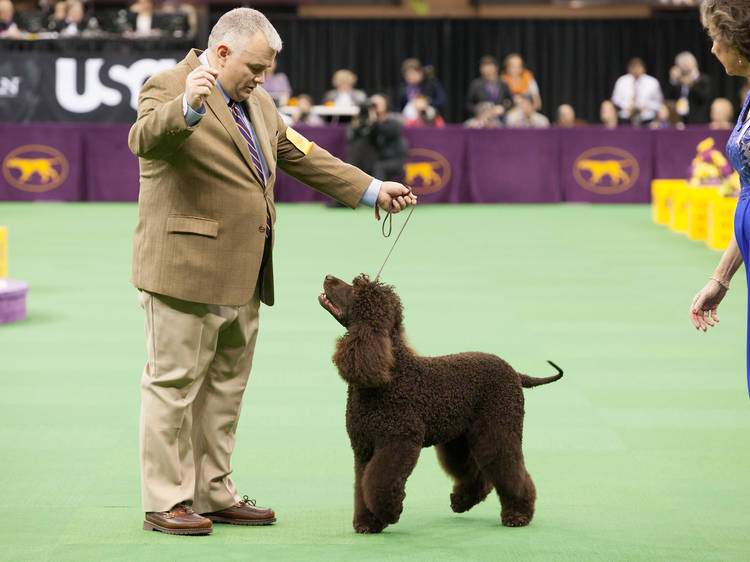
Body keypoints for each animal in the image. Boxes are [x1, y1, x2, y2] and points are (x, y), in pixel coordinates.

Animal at [318, 274, 564, 532]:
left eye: (357, 289)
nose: (328, 277)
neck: (389, 375)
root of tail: (515, 372)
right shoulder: (364, 448)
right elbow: (362, 486)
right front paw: (367, 523)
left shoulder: (399, 440)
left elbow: (380, 482)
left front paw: (389, 512)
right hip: (460, 438)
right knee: (477, 474)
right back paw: (461, 502)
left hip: (499, 428)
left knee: (511, 470)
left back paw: (517, 515)